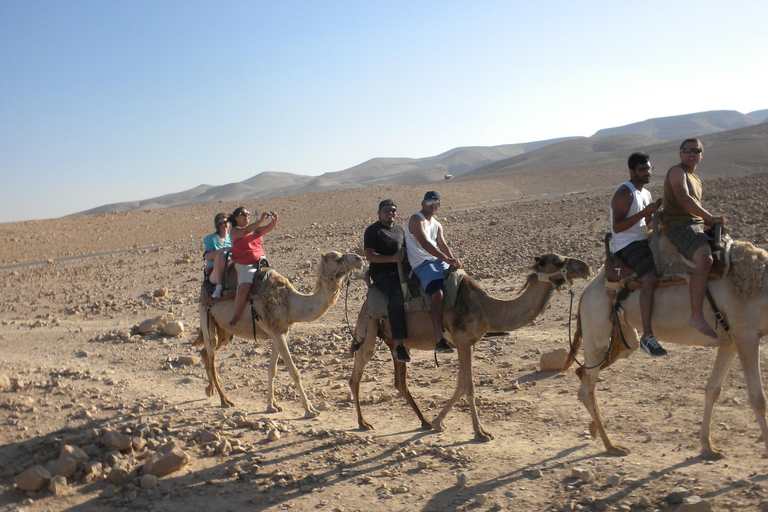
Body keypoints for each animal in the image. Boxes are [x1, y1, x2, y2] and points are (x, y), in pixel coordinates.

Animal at [196, 251, 364, 416]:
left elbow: (272, 370)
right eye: (337, 258)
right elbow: (294, 371)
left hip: (224, 331)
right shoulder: (277, 333)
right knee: (211, 357)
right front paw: (309, 409)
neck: (291, 303)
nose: (359, 259)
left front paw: (272, 405)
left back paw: (209, 389)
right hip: (206, 316)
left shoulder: (279, 332)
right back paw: (225, 400)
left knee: (206, 352)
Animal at [352, 254, 592, 442]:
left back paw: (425, 421)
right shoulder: (463, 342)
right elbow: (469, 387)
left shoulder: (468, 344)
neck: (487, 308)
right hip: (369, 326)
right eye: (558, 261)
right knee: (357, 373)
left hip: (397, 342)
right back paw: (363, 422)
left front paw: (439, 422)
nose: (585, 267)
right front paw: (480, 433)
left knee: (400, 380)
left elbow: (460, 385)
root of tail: (365, 301)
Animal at [560, 240, 768, 460]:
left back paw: (594, 429)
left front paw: (708, 447)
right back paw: (612, 446)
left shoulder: (731, 341)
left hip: (623, 335)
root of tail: (586, 292)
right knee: (586, 389)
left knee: (586, 372)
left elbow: (712, 390)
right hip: (596, 325)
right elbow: (758, 399)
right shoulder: (746, 335)